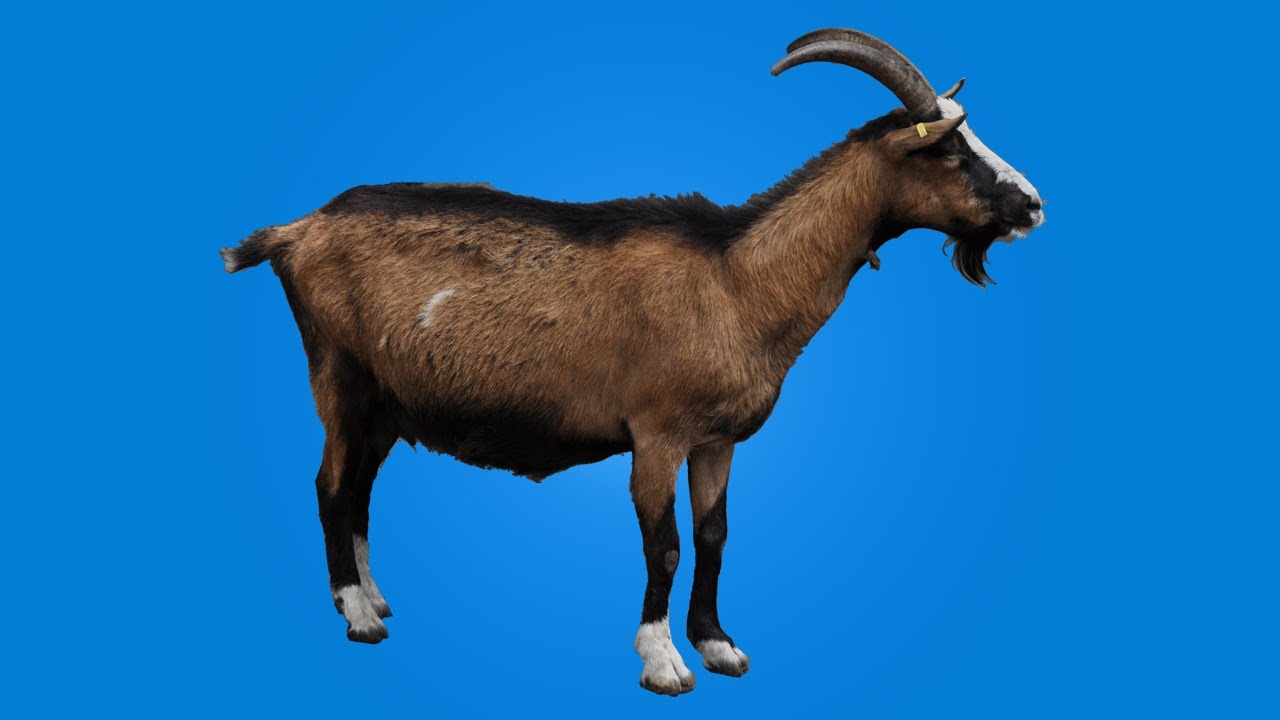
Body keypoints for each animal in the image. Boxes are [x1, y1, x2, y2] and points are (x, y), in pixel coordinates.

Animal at [221, 28, 1044, 695]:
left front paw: (720, 646)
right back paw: (359, 616)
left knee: (359, 488)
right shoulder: (656, 433)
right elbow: (665, 543)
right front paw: (664, 662)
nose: (1033, 206)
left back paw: (373, 596)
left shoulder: (717, 439)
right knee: (330, 485)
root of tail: (296, 230)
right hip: (340, 376)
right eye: (947, 149)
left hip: (391, 402)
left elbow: (714, 535)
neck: (736, 279)